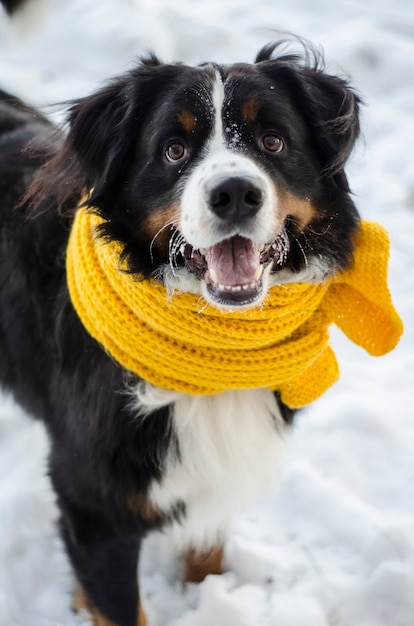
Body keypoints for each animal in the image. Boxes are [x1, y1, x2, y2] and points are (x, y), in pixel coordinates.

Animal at [0, 41, 360, 620]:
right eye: (173, 150)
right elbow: (121, 607)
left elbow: (207, 550)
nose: (235, 193)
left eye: (273, 140)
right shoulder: (92, 504)